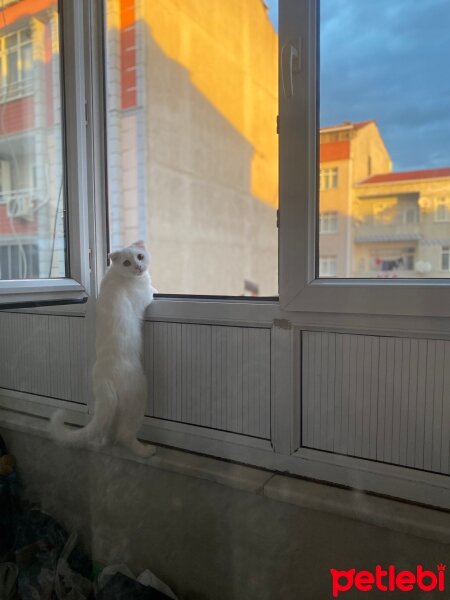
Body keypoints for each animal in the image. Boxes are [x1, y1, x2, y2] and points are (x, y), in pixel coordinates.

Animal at [50, 241, 156, 458]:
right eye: (127, 262)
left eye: (140, 256)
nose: (138, 267)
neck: (117, 275)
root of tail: (105, 378)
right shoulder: (144, 297)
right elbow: (151, 292)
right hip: (139, 395)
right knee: (125, 435)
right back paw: (146, 451)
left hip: (113, 409)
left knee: (107, 433)